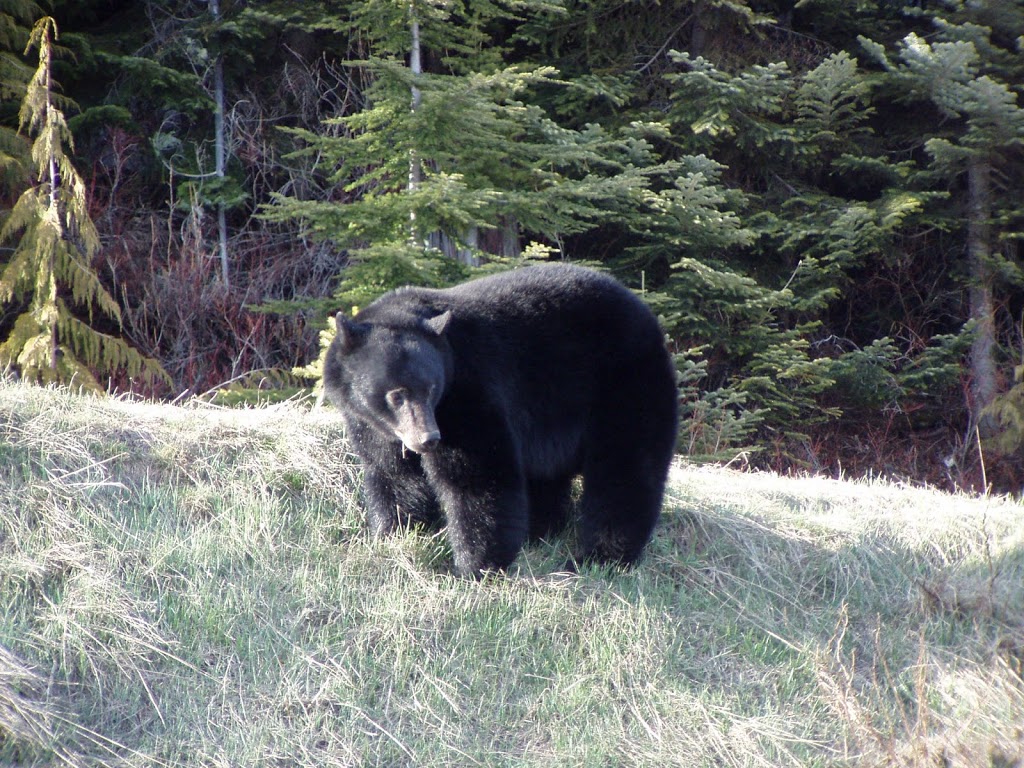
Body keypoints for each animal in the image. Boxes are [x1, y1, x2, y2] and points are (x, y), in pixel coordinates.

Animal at [323, 264, 679, 577]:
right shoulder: (370, 424)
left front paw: (475, 567)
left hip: (624, 382)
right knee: (549, 477)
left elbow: (478, 477)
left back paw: (602, 556)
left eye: (432, 388)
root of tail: (646, 312)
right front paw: (394, 535)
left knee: (624, 469)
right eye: (397, 394)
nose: (428, 439)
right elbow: (393, 474)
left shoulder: (469, 391)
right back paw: (541, 531)